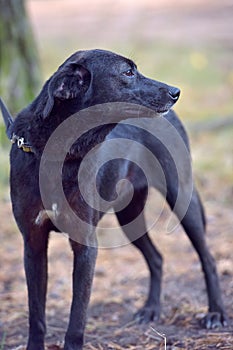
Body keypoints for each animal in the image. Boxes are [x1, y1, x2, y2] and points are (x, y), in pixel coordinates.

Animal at [0, 50, 226, 350]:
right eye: (127, 72)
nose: (176, 91)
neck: (58, 152)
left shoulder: (85, 245)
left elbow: (78, 316)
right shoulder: (33, 243)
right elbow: (36, 313)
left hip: (181, 199)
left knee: (208, 259)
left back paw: (216, 314)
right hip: (128, 215)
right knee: (156, 257)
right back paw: (151, 309)